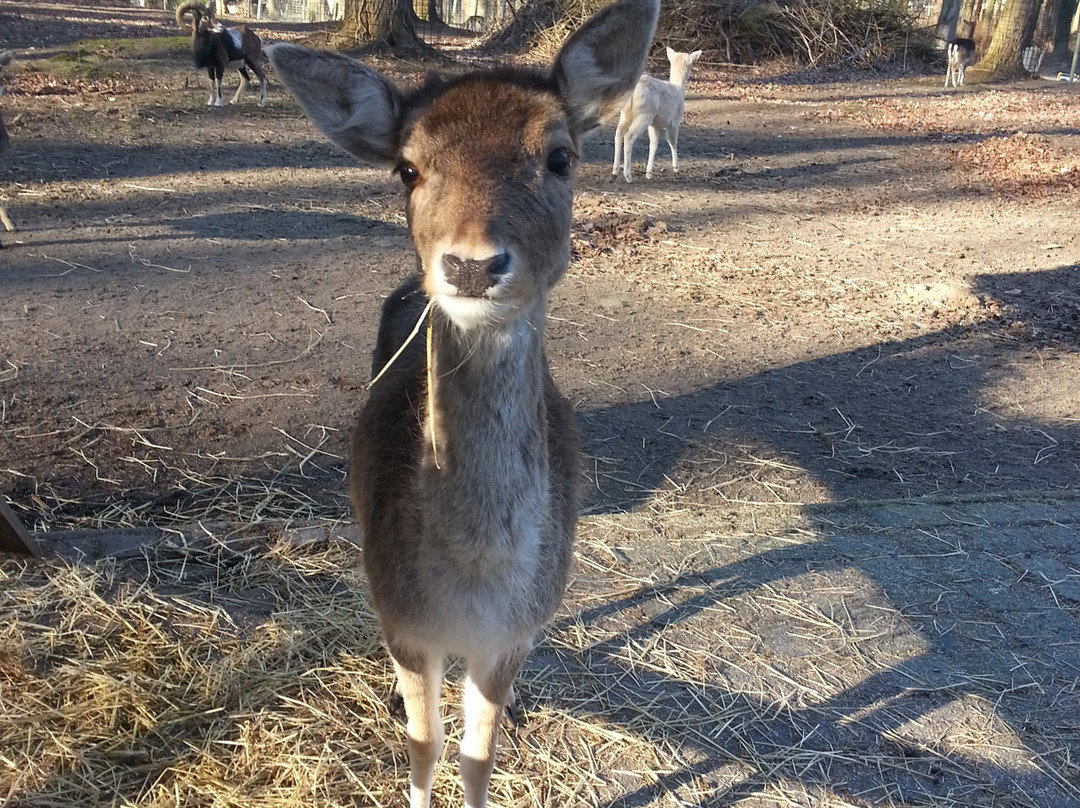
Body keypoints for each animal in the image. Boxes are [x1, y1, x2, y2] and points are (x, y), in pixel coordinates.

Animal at [613, 46, 704, 182]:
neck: (678, 87)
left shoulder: (654, 125)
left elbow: (654, 144)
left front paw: (649, 173)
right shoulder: (674, 121)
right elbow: (672, 142)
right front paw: (676, 167)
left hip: (625, 113)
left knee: (618, 133)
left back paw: (614, 172)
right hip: (644, 114)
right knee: (628, 136)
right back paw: (628, 176)